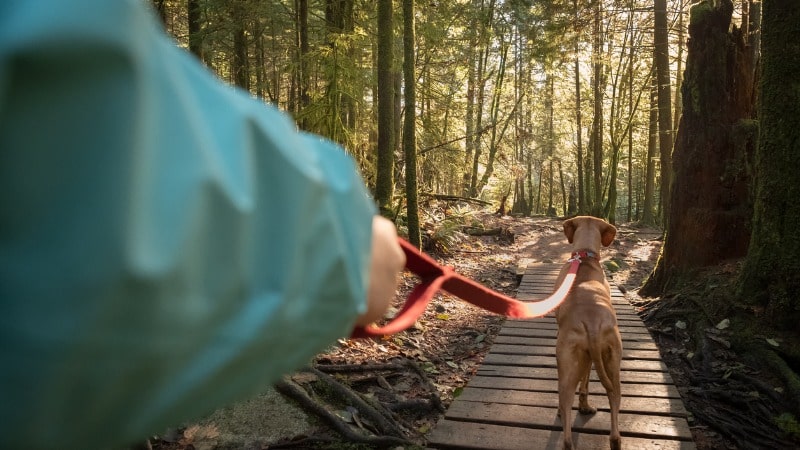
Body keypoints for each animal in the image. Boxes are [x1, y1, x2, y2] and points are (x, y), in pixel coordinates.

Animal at [552, 216, 620, 448]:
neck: (585, 257)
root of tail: (592, 323)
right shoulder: (591, 356)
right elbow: (586, 382)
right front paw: (585, 406)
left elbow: (584, 380)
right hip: (613, 363)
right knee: (614, 404)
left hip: (566, 361)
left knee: (565, 423)